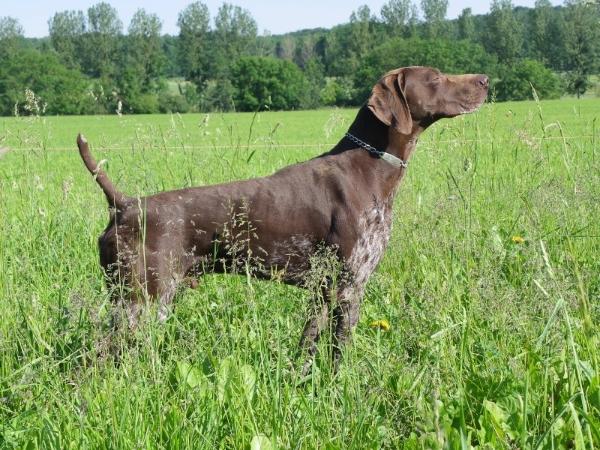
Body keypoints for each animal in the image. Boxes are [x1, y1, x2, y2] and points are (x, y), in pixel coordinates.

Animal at [77, 66, 488, 370]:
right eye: (435, 78)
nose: (485, 80)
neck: (371, 166)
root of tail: (124, 204)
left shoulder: (324, 290)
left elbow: (309, 345)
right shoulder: (349, 286)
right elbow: (339, 354)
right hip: (143, 300)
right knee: (98, 357)